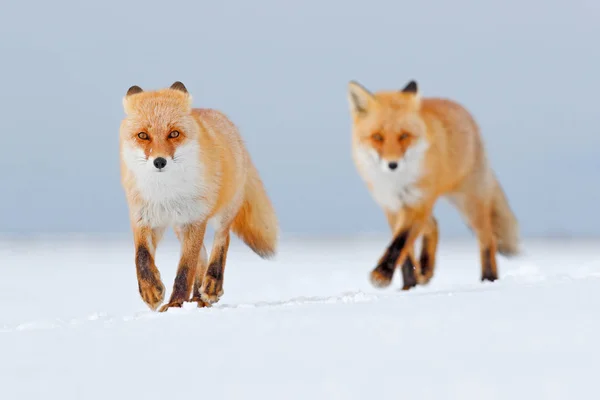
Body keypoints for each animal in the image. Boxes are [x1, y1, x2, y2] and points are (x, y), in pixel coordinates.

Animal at [119, 82, 278, 312]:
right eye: (142, 135)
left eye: (174, 133)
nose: (159, 161)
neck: (166, 193)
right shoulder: (143, 217)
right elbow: (141, 257)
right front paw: (150, 290)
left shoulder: (193, 218)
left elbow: (185, 270)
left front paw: (175, 303)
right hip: (180, 227)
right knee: (201, 255)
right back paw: (197, 298)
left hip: (220, 214)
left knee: (221, 241)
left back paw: (211, 287)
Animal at [346, 79, 520, 290]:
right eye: (377, 137)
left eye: (404, 136)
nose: (392, 164)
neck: (397, 183)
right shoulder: (393, 207)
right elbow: (405, 253)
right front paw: (408, 286)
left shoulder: (416, 203)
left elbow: (400, 242)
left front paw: (382, 274)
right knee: (434, 225)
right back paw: (426, 268)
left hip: (469, 204)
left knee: (488, 239)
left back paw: (489, 279)